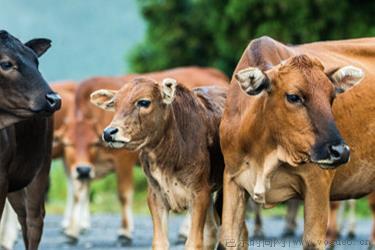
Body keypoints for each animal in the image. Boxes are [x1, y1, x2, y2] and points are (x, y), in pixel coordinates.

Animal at [0, 30, 61, 249]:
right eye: (6, 64)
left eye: (36, 61)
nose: (54, 99)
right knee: (23, 218)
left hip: (40, 167)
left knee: (34, 220)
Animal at [58, 67, 229, 244]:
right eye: (67, 144)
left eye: (144, 102)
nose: (109, 132)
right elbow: (78, 193)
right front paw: (72, 231)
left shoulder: (123, 161)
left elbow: (123, 194)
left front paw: (125, 232)